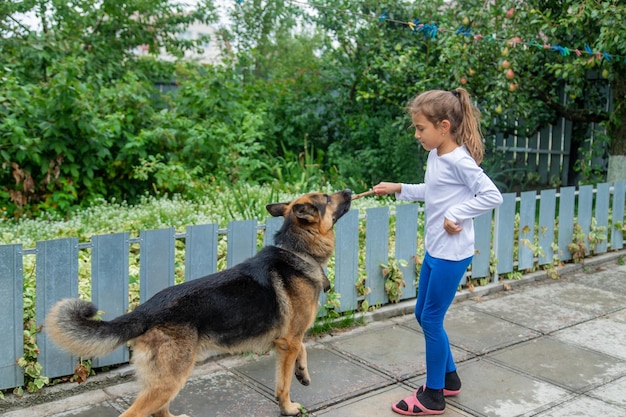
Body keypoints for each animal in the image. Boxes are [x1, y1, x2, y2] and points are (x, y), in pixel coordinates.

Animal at [45, 189, 352, 416]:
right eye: (327, 198)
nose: (349, 190)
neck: (297, 252)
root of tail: (146, 311)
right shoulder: (287, 342)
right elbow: (284, 383)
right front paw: (288, 407)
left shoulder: (289, 339)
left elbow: (302, 349)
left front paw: (303, 372)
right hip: (170, 380)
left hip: (167, 381)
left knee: (159, 412)